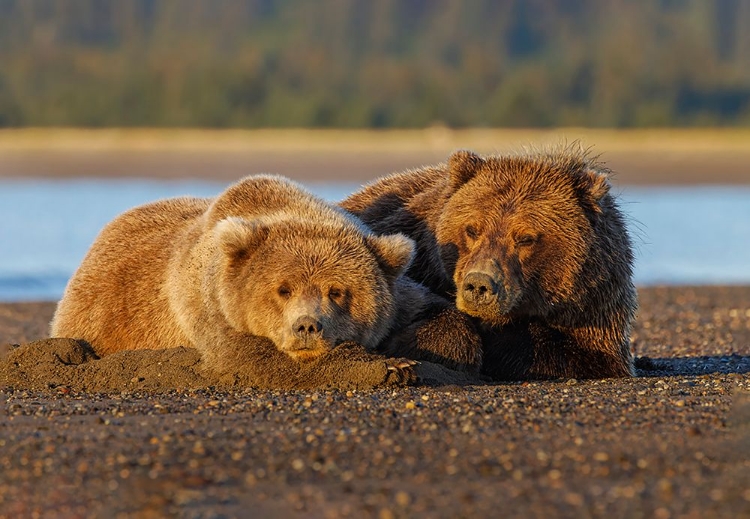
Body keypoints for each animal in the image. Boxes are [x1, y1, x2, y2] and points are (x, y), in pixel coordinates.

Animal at [51, 177, 482, 388]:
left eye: (337, 291)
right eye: (283, 289)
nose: (307, 326)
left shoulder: (401, 291)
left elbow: (440, 314)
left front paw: (408, 350)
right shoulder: (211, 303)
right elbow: (257, 358)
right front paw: (391, 367)